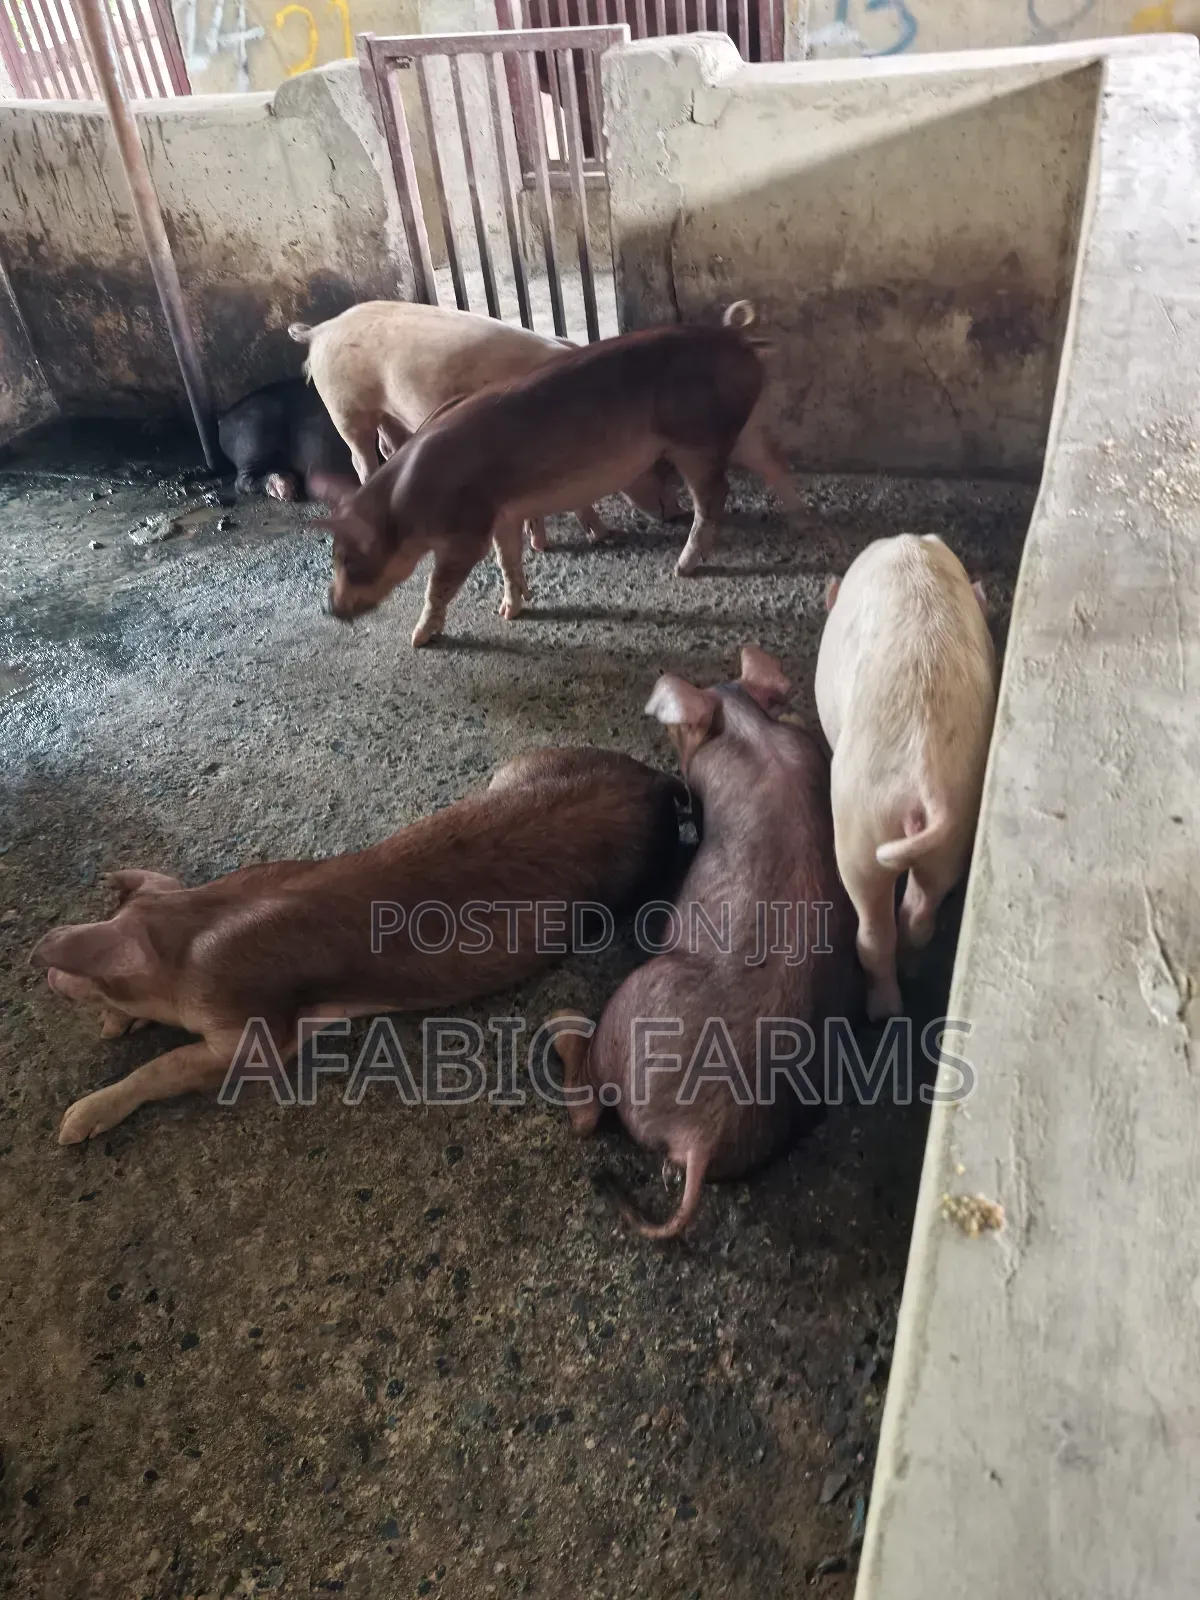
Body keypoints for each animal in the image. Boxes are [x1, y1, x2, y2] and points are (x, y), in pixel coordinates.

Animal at [31, 747, 684, 1146]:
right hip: (520, 767)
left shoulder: (252, 1031)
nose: (47, 976)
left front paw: (72, 1124)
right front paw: (114, 1033)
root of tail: (654, 779)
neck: (193, 929)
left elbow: (168, 1066)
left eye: (82, 976)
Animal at [288, 300, 680, 545]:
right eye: (652, 461)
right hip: (344, 407)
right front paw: (595, 537)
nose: (676, 514)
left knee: (390, 447)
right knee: (362, 458)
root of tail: (320, 330)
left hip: (388, 409)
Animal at [549, 646, 858, 1240]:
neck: (752, 731)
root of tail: (701, 1134)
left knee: (586, 1110)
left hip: (633, 1002)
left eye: (678, 733)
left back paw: (560, 1026)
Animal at [814, 533, 997, 1021]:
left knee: (873, 928)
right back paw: (911, 973)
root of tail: (923, 776)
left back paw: (883, 1009)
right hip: (957, 821)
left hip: (861, 825)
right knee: (919, 912)